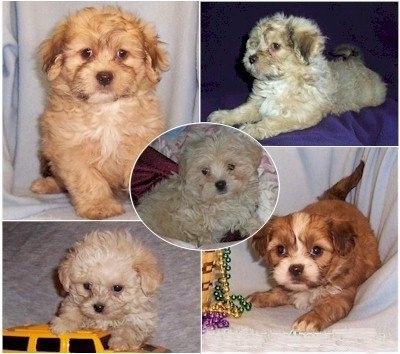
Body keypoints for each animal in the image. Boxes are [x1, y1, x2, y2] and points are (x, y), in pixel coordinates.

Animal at [30, 6, 168, 218]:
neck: (106, 108)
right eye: (86, 53)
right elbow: (87, 179)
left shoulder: (140, 139)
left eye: (122, 53)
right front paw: (99, 205)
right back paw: (45, 184)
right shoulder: (70, 147)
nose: (104, 76)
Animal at [136, 129, 264, 248]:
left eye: (231, 166)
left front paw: (256, 226)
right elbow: (203, 237)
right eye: (205, 171)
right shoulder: (189, 221)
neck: (221, 202)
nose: (220, 184)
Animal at [209, 12, 388, 140]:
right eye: (255, 43)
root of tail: (358, 62)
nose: (250, 58)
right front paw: (223, 115)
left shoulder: (298, 115)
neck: (280, 82)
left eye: (275, 46)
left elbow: (273, 121)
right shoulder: (259, 102)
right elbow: (241, 111)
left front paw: (252, 128)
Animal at [247, 162, 382, 334]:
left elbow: (329, 306)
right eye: (280, 249)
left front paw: (310, 319)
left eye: (317, 250)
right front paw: (261, 296)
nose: (296, 268)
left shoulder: (342, 293)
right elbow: (279, 290)